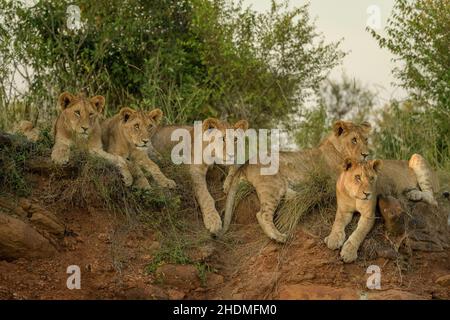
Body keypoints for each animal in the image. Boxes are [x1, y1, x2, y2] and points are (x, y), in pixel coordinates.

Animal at [221, 120, 372, 242]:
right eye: (354, 140)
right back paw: (278, 237)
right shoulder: (334, 183)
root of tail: (246, 164)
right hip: (273, 186)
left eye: (366, 140)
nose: (366, 154)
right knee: (262, 214)